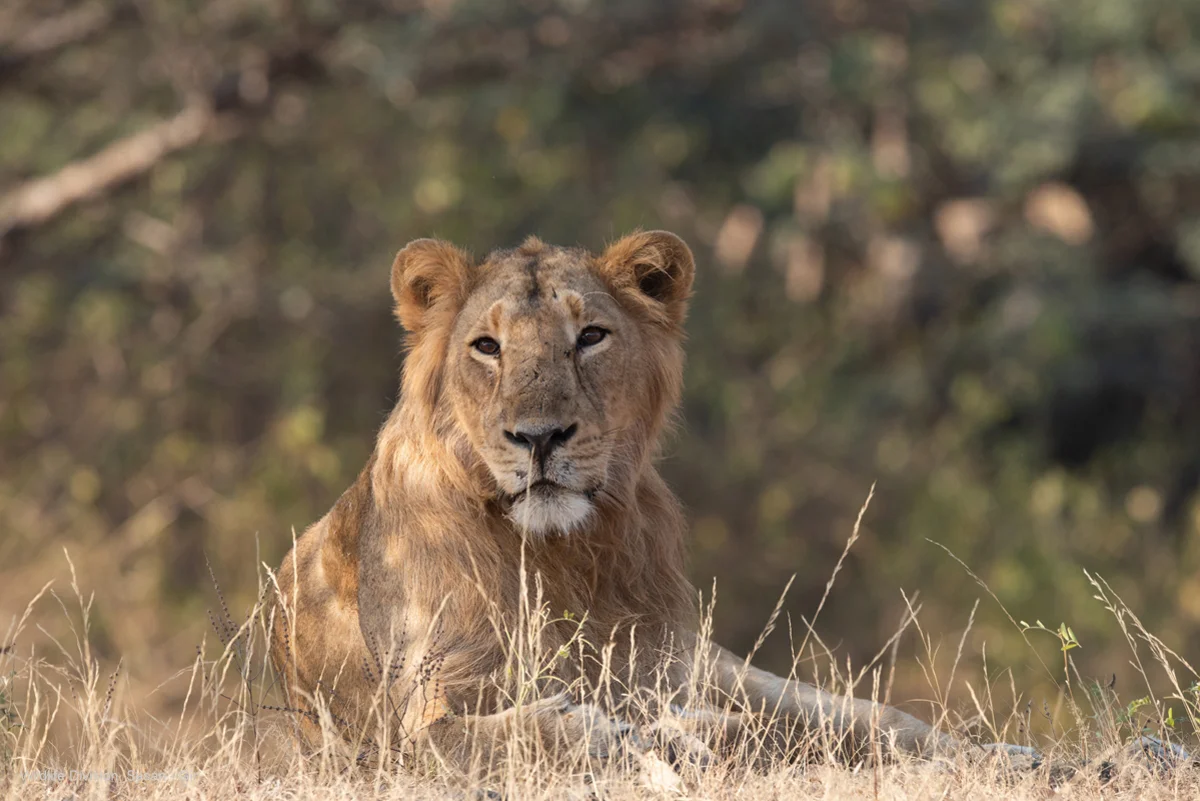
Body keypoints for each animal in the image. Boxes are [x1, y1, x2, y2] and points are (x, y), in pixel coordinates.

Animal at [268, 231, 977, 774]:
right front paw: (625, 737)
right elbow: (490, 737)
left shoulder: (660, 666)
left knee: (858, 714)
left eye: (591, 336)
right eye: (487, 347)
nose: (539, 437)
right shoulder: (402, 729)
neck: (562, 555)